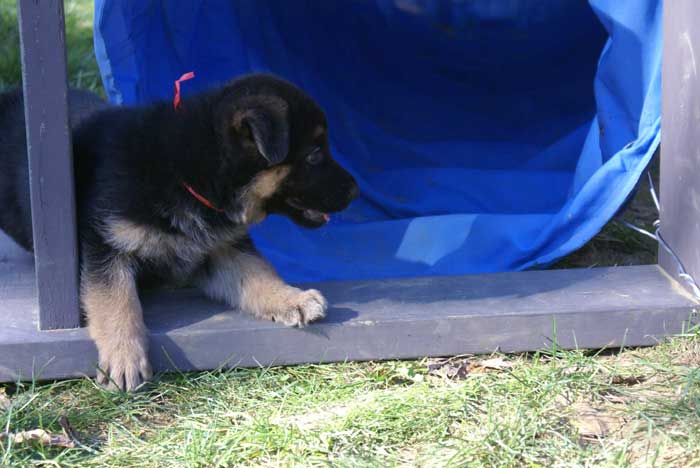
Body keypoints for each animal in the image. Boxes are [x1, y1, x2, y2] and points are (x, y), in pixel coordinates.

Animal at [0, 75, 358, 392]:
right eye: (314, 155)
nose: (356, 192)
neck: (186, 170)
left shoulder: (220, 248)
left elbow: (258, 273)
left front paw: (291, 298)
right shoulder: (106, 242)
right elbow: (116, 300)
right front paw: (124, 355)